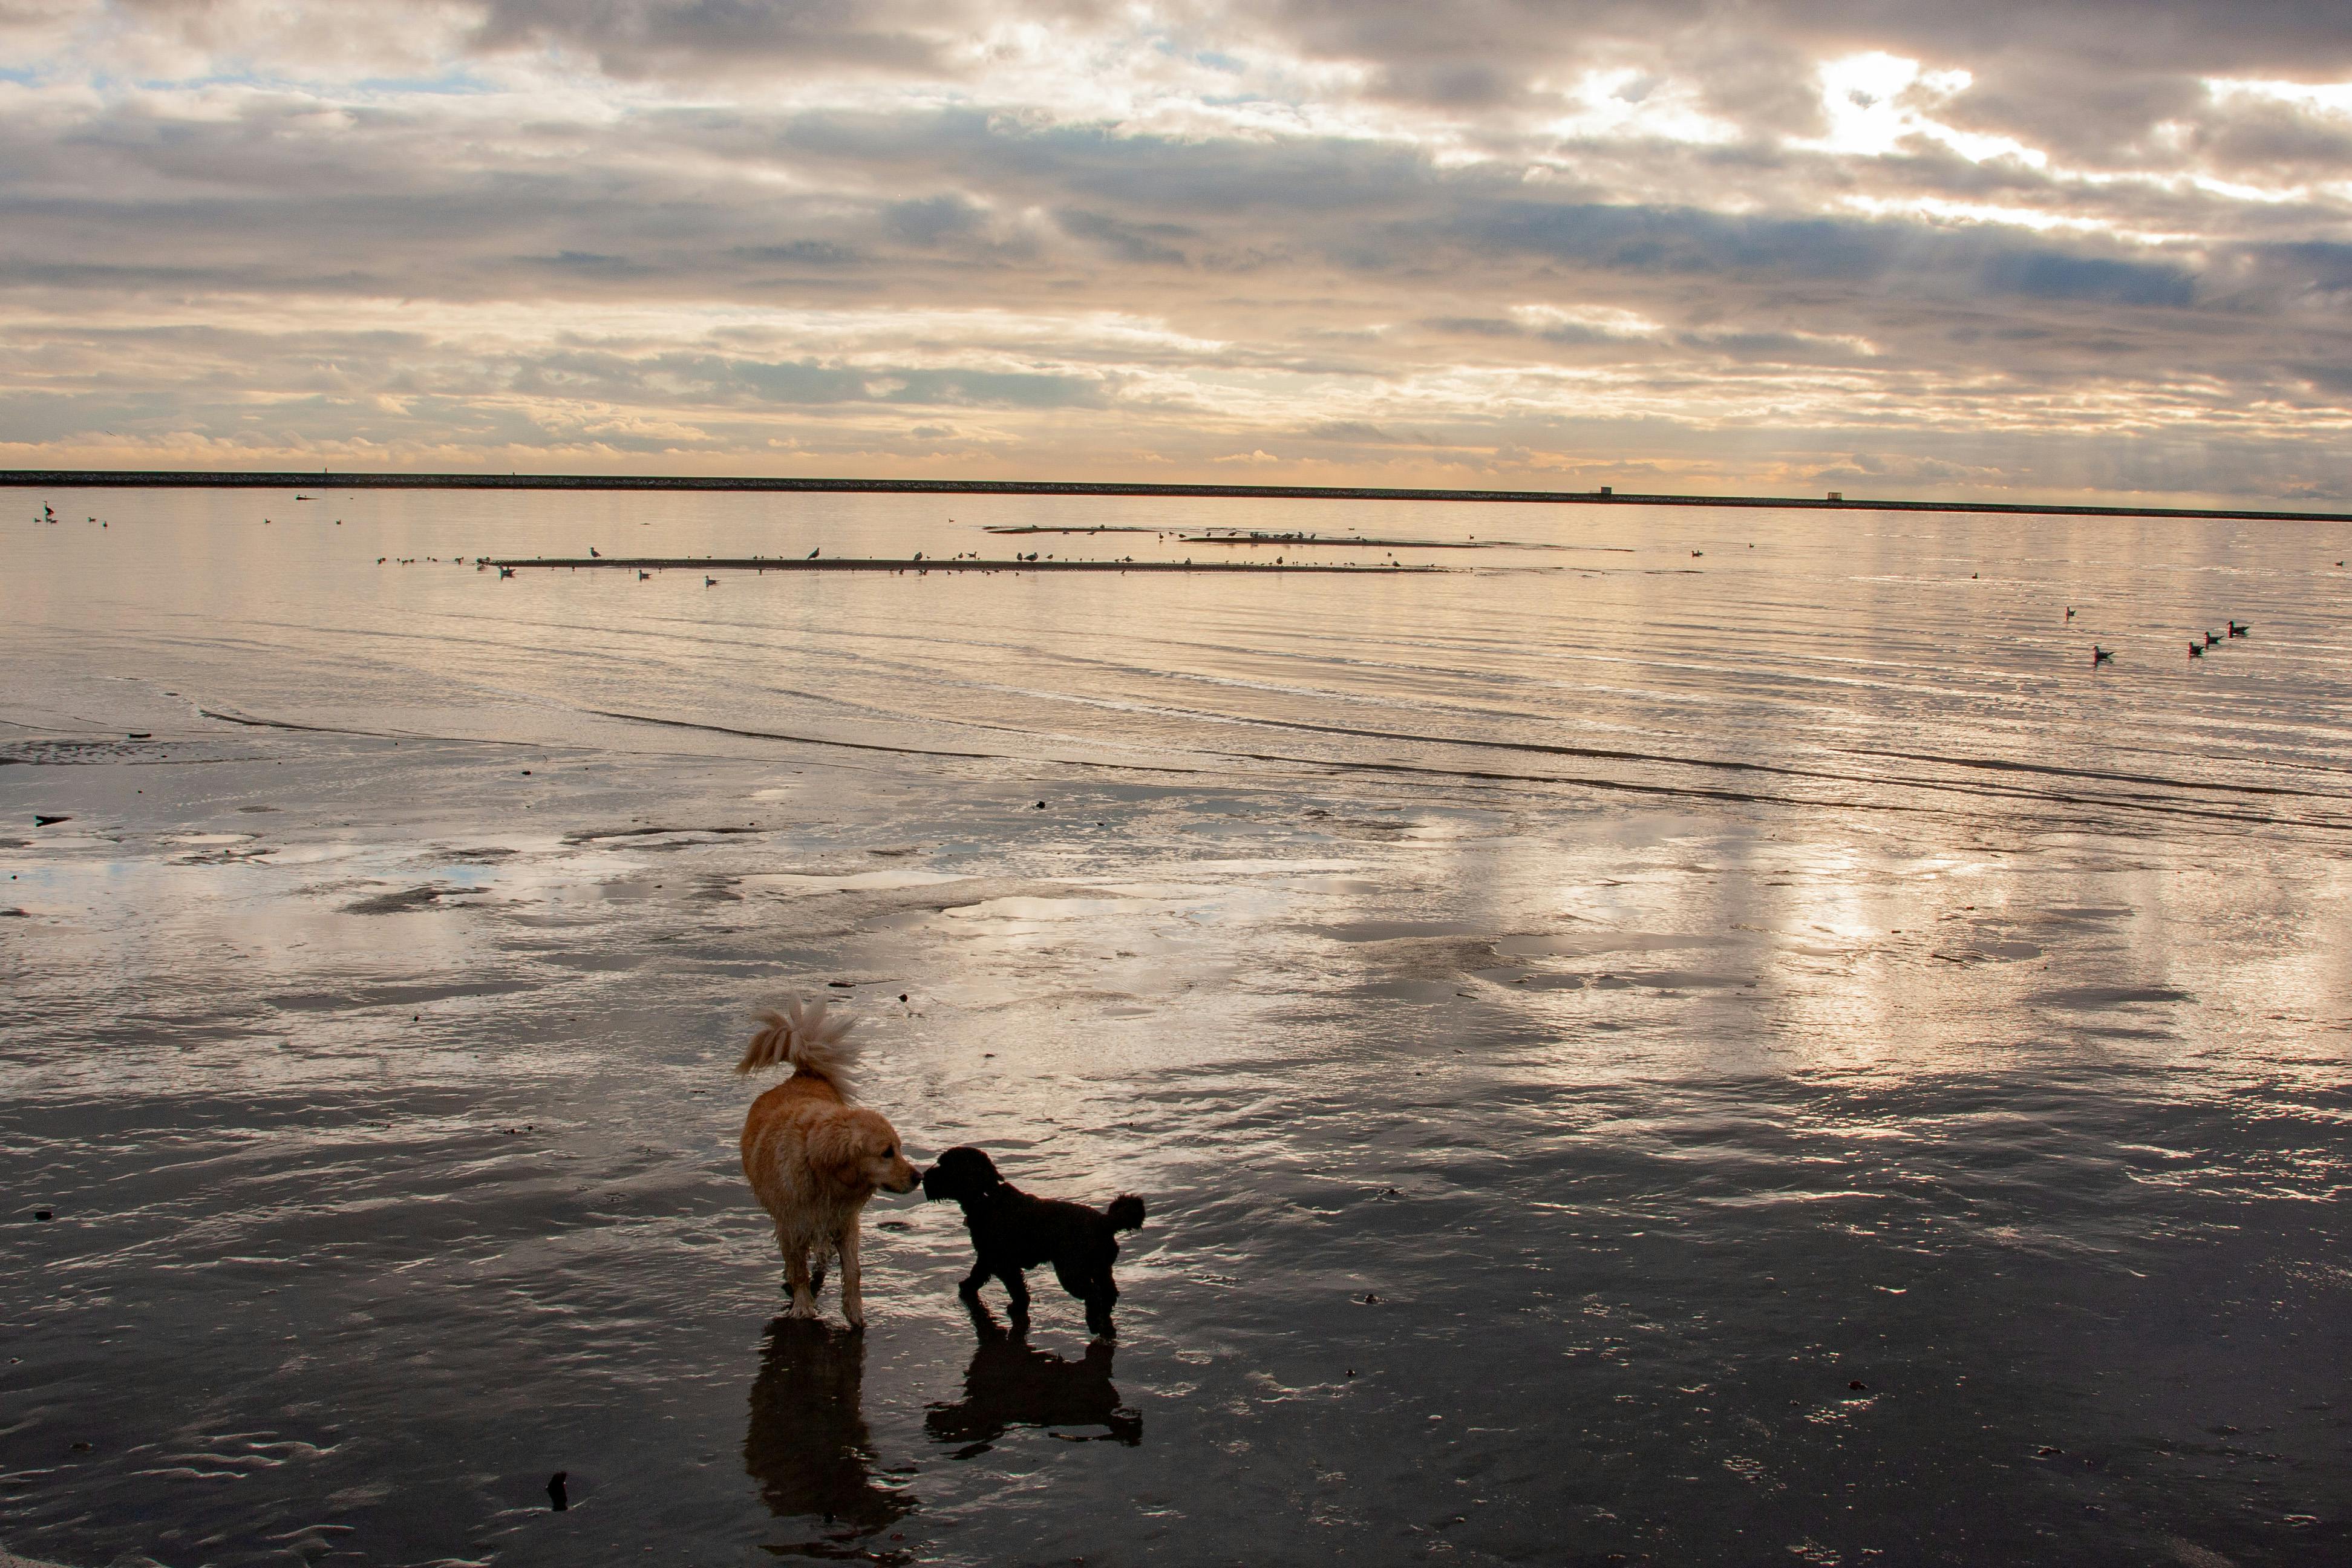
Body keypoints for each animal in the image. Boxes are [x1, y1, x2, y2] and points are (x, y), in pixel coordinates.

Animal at [734, 1006, 917, 1325]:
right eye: (887, 1153)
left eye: (899, 1150)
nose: (919, 1176)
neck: (821, 1171)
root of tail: (801, 1074)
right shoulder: (791, 1224)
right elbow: (798, 1270)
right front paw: (803, 1306)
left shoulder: (845, 1221)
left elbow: (853, 1270)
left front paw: (855, 1311)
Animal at [912, 1142, 1143, 1335]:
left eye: (944, 1165)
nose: (924, 1177)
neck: (986, 1196)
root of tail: (1105, 1221)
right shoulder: (988, 1258)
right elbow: (981, 1276)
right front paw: (968, 1289)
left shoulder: (1000, 1262)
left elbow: (1013, 1287)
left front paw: (1015, 1306)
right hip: (1101, 1268)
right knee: (1109, 1292)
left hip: (1071, 1271)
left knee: (1093, 1293)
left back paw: (1093, 1323)